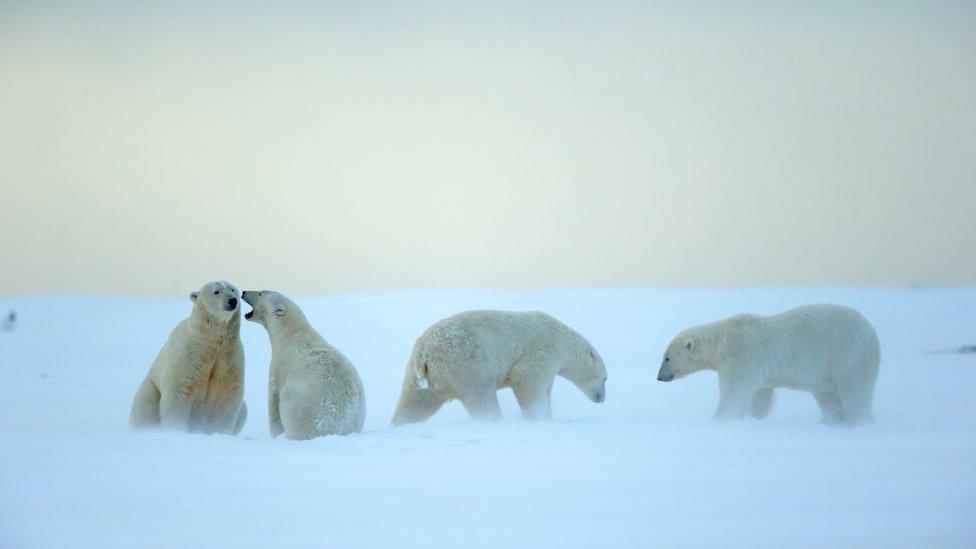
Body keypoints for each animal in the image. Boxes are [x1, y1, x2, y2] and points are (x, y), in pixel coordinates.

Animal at [127, 280, 250, 434]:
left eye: (232, 290)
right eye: (216, 291)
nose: (232, 301)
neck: (209, 343)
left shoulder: (229, 357)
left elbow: (227, 395)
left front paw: (218, 432)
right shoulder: (189, 354)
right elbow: (178, 391)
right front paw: (177, 430)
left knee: (243, 409)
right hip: (151, 386)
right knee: (144, 405)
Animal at [241, 288, 366, 438]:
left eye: (261, 293)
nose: (244, 292)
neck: (292, 334)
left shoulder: (280, 363)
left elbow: (274, 398)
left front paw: (275, 434)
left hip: (301, 403)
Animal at [392, 308, 608, 424]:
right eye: (605, 378)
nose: (602, 399)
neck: (563, 340)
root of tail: (425, 350)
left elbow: (545, 389)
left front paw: (547, 415)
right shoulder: (542, 350)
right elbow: (528, 382)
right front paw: (539, 416)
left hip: (423, 376)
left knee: (415, 402)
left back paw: (399, 424)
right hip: (466, 364)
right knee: (481, 397)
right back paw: (495, 421)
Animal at [660, 302, 880, 426]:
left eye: (667, 357)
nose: (659, 376)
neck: (723, 340)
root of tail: (872, 333)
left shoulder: (742, 356)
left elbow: (734, 392)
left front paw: (721, 419)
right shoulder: (758, 368)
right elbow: (760, 395)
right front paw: (754, 416)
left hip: (848, 357)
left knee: (855, 393)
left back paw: (857, 422)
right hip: (825, 372)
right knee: (828, 397)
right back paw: (830, 422)